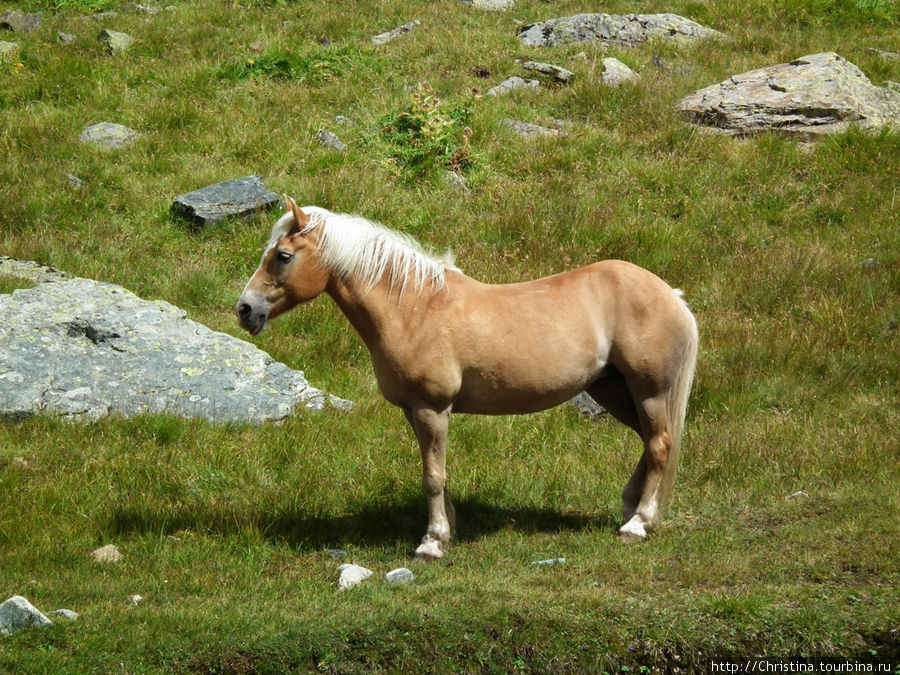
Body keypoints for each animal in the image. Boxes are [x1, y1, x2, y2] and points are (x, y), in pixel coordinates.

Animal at [236, 199, 700, 560]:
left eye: (282, 255)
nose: (245, 309)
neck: (414, 306)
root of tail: (671, 295)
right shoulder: (415, 411)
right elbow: (435, 472)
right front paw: (447, 529)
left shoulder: (432, 408)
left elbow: (433, 476)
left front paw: (431, 543)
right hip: (613, 391)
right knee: (649, 442)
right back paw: (631, 510)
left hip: (649, 391)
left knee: (659, 445)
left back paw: (638, 524)